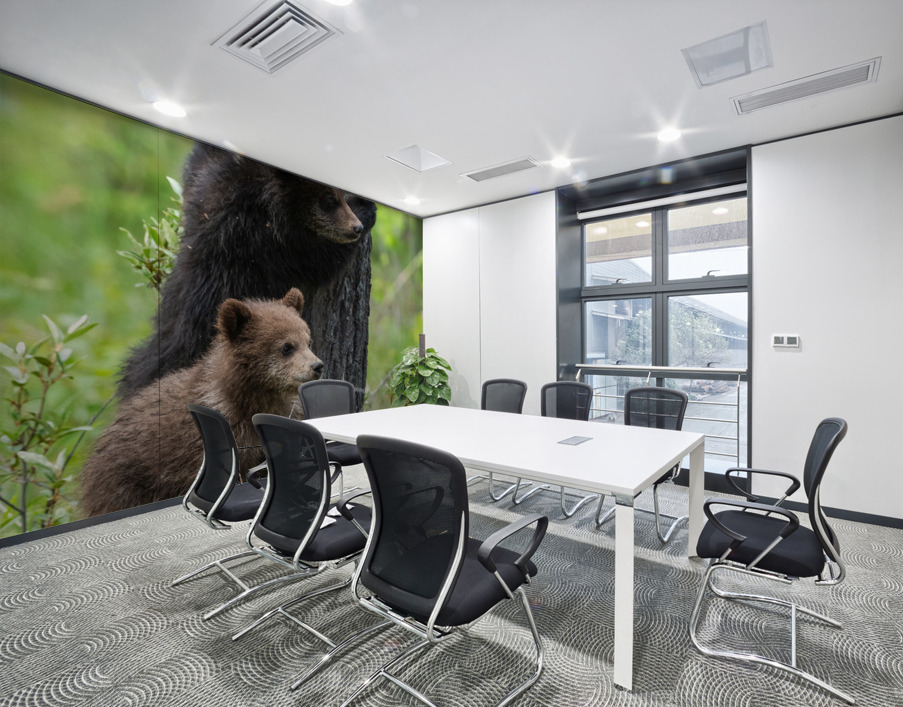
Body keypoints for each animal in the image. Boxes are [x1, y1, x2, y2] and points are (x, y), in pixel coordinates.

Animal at [116, 142, 377, 398]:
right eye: (330, 201)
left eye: (338, 197)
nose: (355, 227)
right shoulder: (265, 241)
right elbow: (319, 260)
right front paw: (366, 209)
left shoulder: (208, 187)